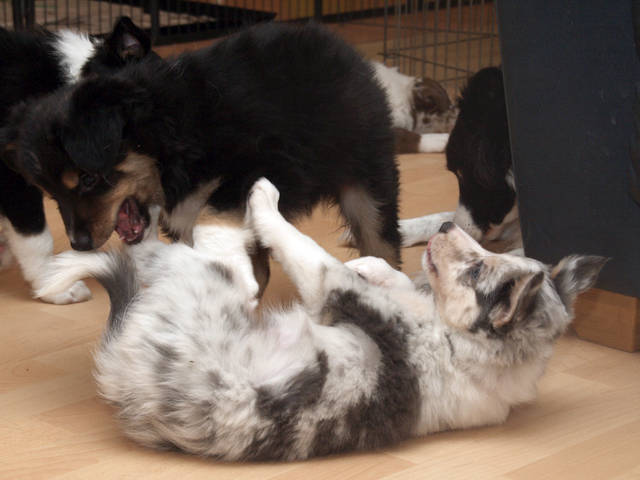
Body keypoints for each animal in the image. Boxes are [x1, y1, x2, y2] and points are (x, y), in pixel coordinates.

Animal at [35, 178, 605, 461]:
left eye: (478, 268)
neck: (458, 339)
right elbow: (394, 277)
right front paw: (373, 262)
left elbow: (303, 247)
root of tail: (119, 376)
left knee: (199, 265)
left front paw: (265, 202)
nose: (446, 225)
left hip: (204, 283)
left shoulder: (330, 289)